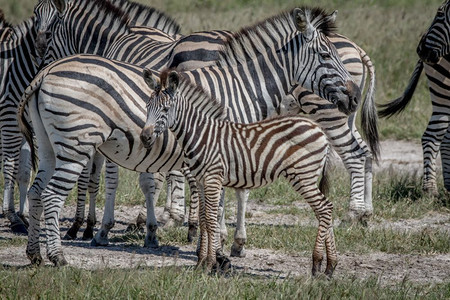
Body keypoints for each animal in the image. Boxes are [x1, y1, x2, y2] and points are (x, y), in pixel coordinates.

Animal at [141, 68, 338, 276]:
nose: (145, 137)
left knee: (325, 208)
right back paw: (330, 266)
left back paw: (317, 264)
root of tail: (320, 129)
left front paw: (209, 263)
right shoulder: (201, 180)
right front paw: (200, 263)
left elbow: (211, 220)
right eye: (147, 106)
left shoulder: (213, 178)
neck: (201, 134)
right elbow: (203, 220)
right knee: (325, 210)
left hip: (303, 175)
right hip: (306, 177)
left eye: (165, 109)